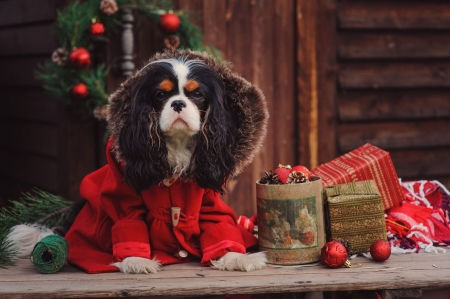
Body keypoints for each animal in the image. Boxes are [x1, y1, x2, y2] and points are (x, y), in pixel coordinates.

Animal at [8, 50, 268, 276]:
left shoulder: (207, 201)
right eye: (161, 95)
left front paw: (235, 256)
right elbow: (128, 221)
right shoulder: (123, 198)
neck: (176, 144)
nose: (178, 104)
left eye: (197, 95)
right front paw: (136, 260)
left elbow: (218, 224)